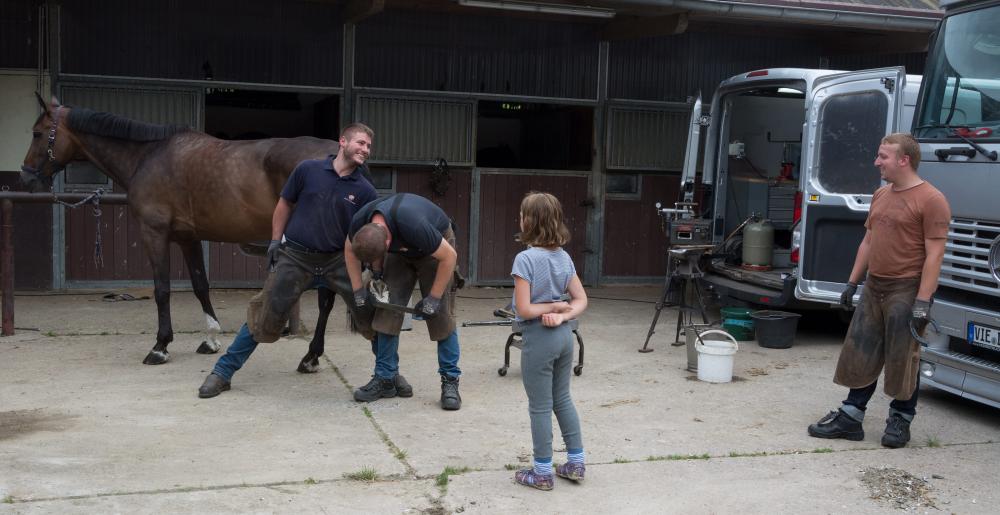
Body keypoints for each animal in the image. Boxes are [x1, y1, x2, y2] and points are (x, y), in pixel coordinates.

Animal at [20, 94, 356, 372]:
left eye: (38, 133)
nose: (26, 178)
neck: (148, 155)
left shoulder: (154, 234)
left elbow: (162, 289)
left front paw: (160, 347)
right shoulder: (187, 238)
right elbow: (200, 285)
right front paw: (211, 339)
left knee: (326, 300)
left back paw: (311, 357)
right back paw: (312, 356)